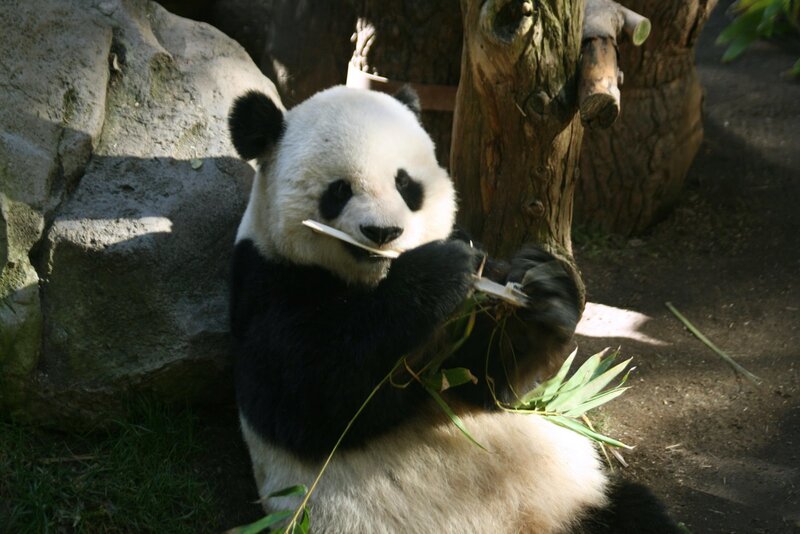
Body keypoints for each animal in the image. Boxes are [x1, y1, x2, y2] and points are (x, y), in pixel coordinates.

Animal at [228, 85, 679, 533]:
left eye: (405, 185)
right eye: (338, 191)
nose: (382, 232)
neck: (373, 278)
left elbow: (487, 382)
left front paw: (545, 293)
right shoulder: (267, 281)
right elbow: (308, 398)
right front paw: (434, 274)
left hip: (576, 500)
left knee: (634, 513)